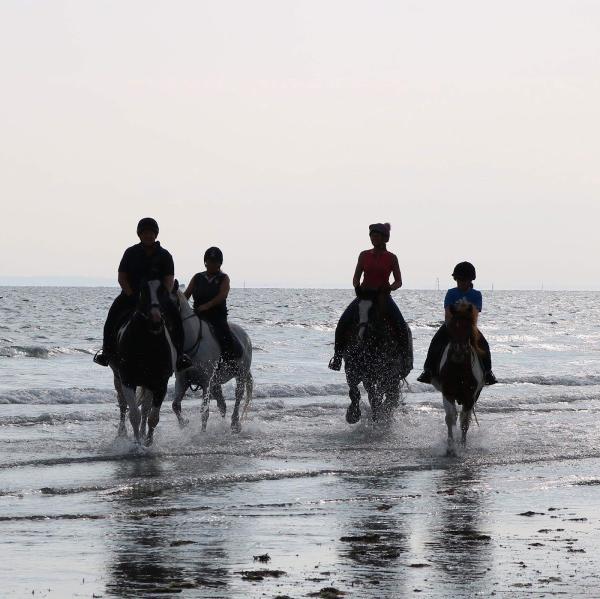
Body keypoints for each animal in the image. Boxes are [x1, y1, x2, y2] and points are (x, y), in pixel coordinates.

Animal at [109, 280, 175, 446]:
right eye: (143, 290)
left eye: (163, 291)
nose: (156, 320)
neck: (147, 343)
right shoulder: (127, 381)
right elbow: (134, 415)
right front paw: (137, 444)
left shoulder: (160, 384)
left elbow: (153, 417)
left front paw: (148, 442)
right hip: (117, 377)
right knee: (123, 404)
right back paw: (122, 433)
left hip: (148, 384)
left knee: (145, 408)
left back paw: (143, 433)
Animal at [171, 290, 253, 434]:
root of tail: (246, 337)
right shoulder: (182, 380)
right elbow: (175, 405)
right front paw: (184, 424)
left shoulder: (205, 382)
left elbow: (204, 411)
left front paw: (202, 433)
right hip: (216, 383)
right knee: (222, 405)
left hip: (240, 375)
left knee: (238, 396)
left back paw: (235, 424)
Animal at [428, 300, 486, 450]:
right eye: (452, 327)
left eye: (468, 328)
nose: (458, 352)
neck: (459, 369)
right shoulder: (447, 393)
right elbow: (450, 418)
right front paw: (450, 446)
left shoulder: (470, 397)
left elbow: (464, 421)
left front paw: (462, 445)